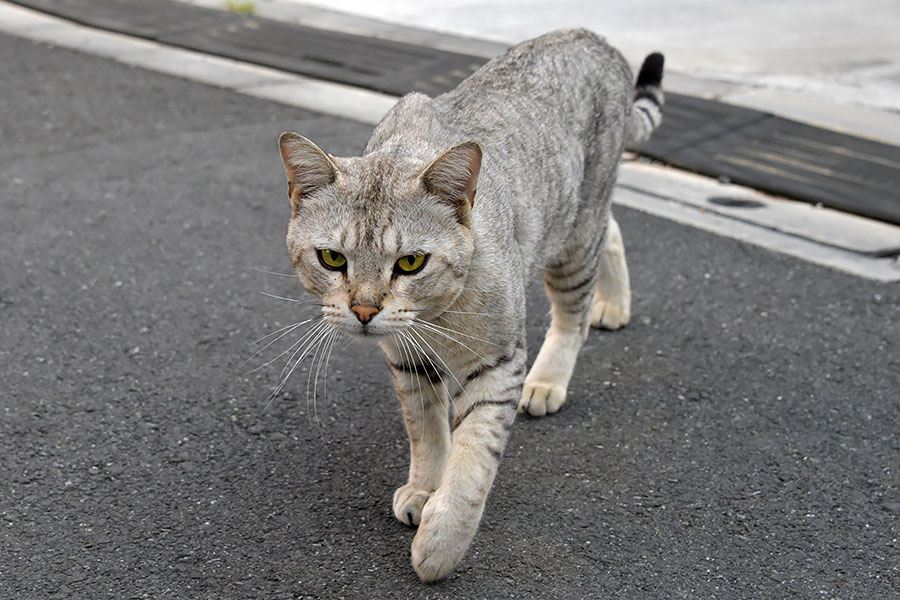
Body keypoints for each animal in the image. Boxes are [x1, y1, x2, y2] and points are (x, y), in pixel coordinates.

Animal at [278, 29, 664, 580]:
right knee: (611, 231)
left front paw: (442, 541)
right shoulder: (408, 360)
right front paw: (424, 488)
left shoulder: (497, 365)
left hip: (573, 235)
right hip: (572, 223)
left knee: (574, 311)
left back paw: (551, 377)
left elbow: (472, 460)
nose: (365, 311)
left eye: (411, 263)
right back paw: (614, 303)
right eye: (332, 258)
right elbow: (427, 431)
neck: (435, 316)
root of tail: (593, 38)